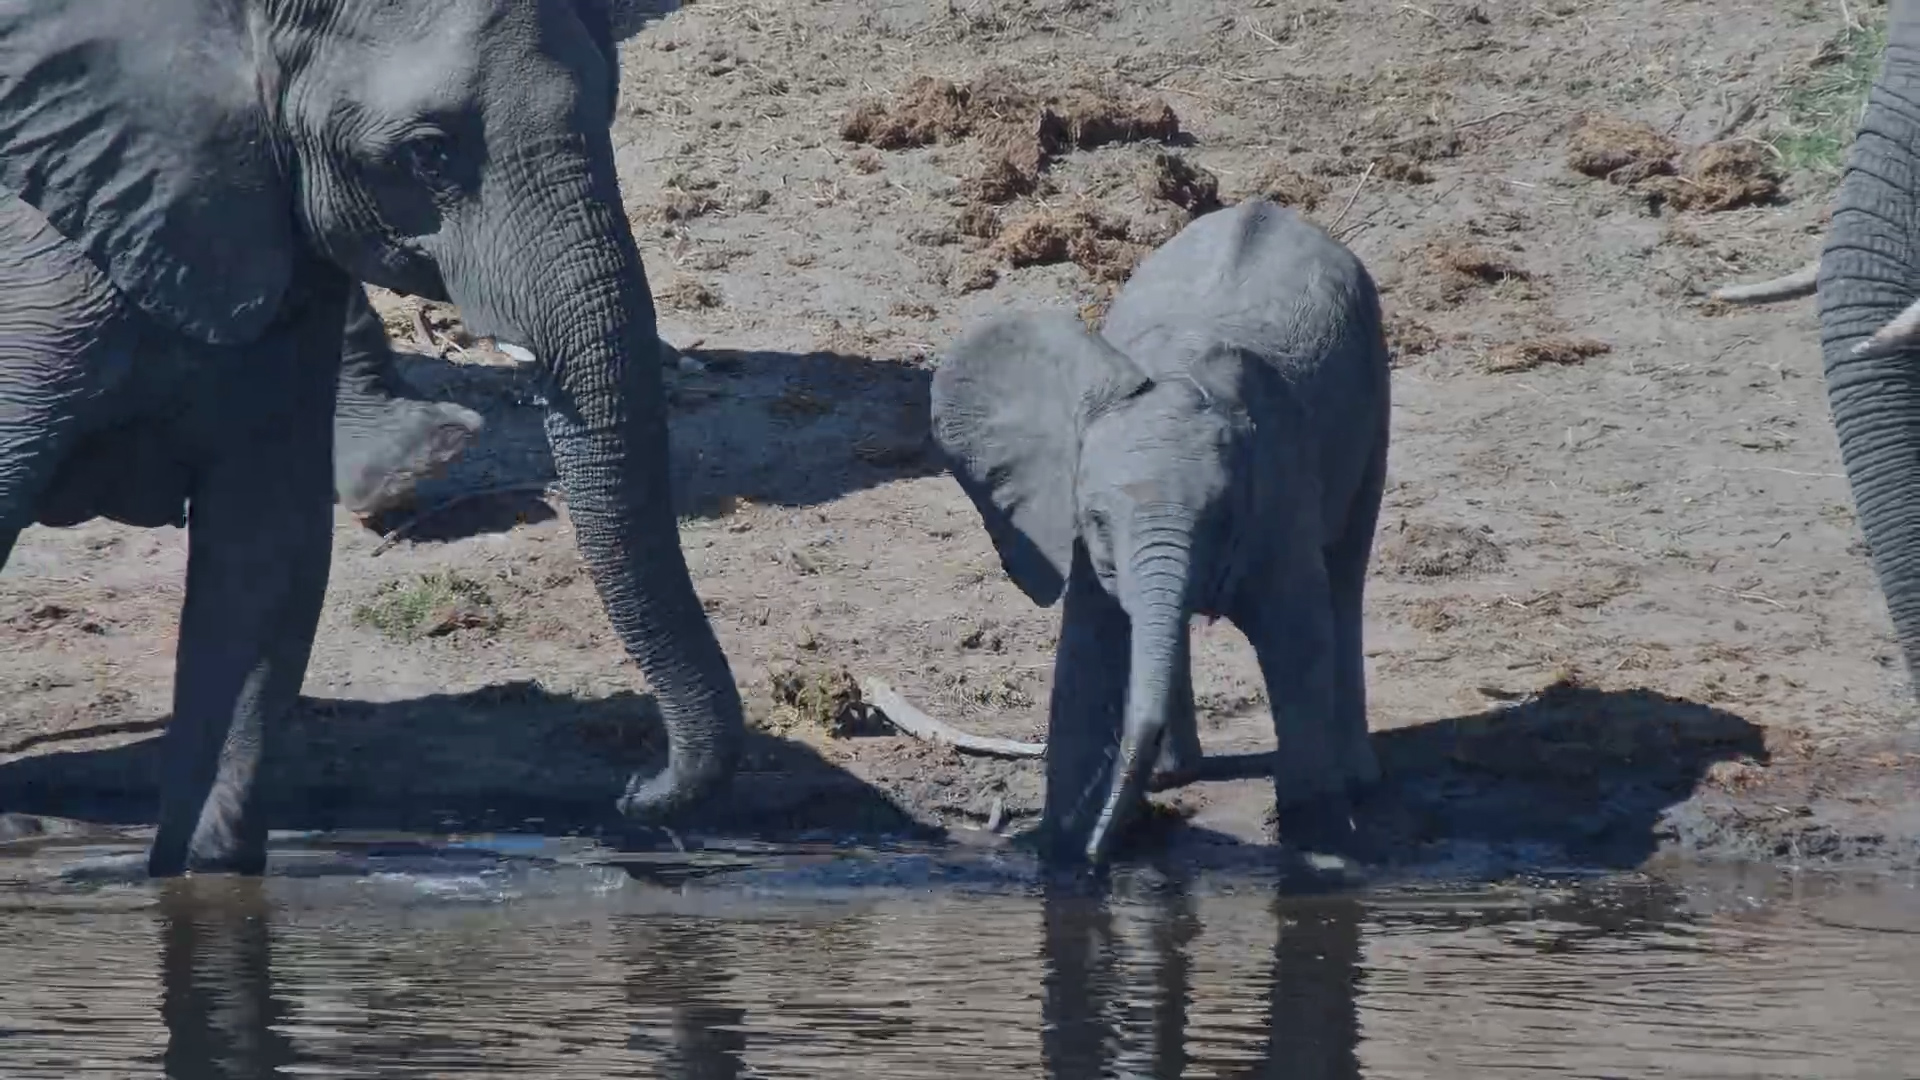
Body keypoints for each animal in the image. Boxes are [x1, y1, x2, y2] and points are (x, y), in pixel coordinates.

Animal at [930, 199, 1392, 866]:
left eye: (1220, 518)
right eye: (1096, 520)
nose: (1103, 852)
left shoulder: (1279, 489)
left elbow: (1298, 640)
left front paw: (1322, 857)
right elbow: (1084, 657)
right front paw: (1062, 860)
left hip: (1374, 377)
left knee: (1347, 572)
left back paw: (1358, 778)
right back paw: (1175, 774)